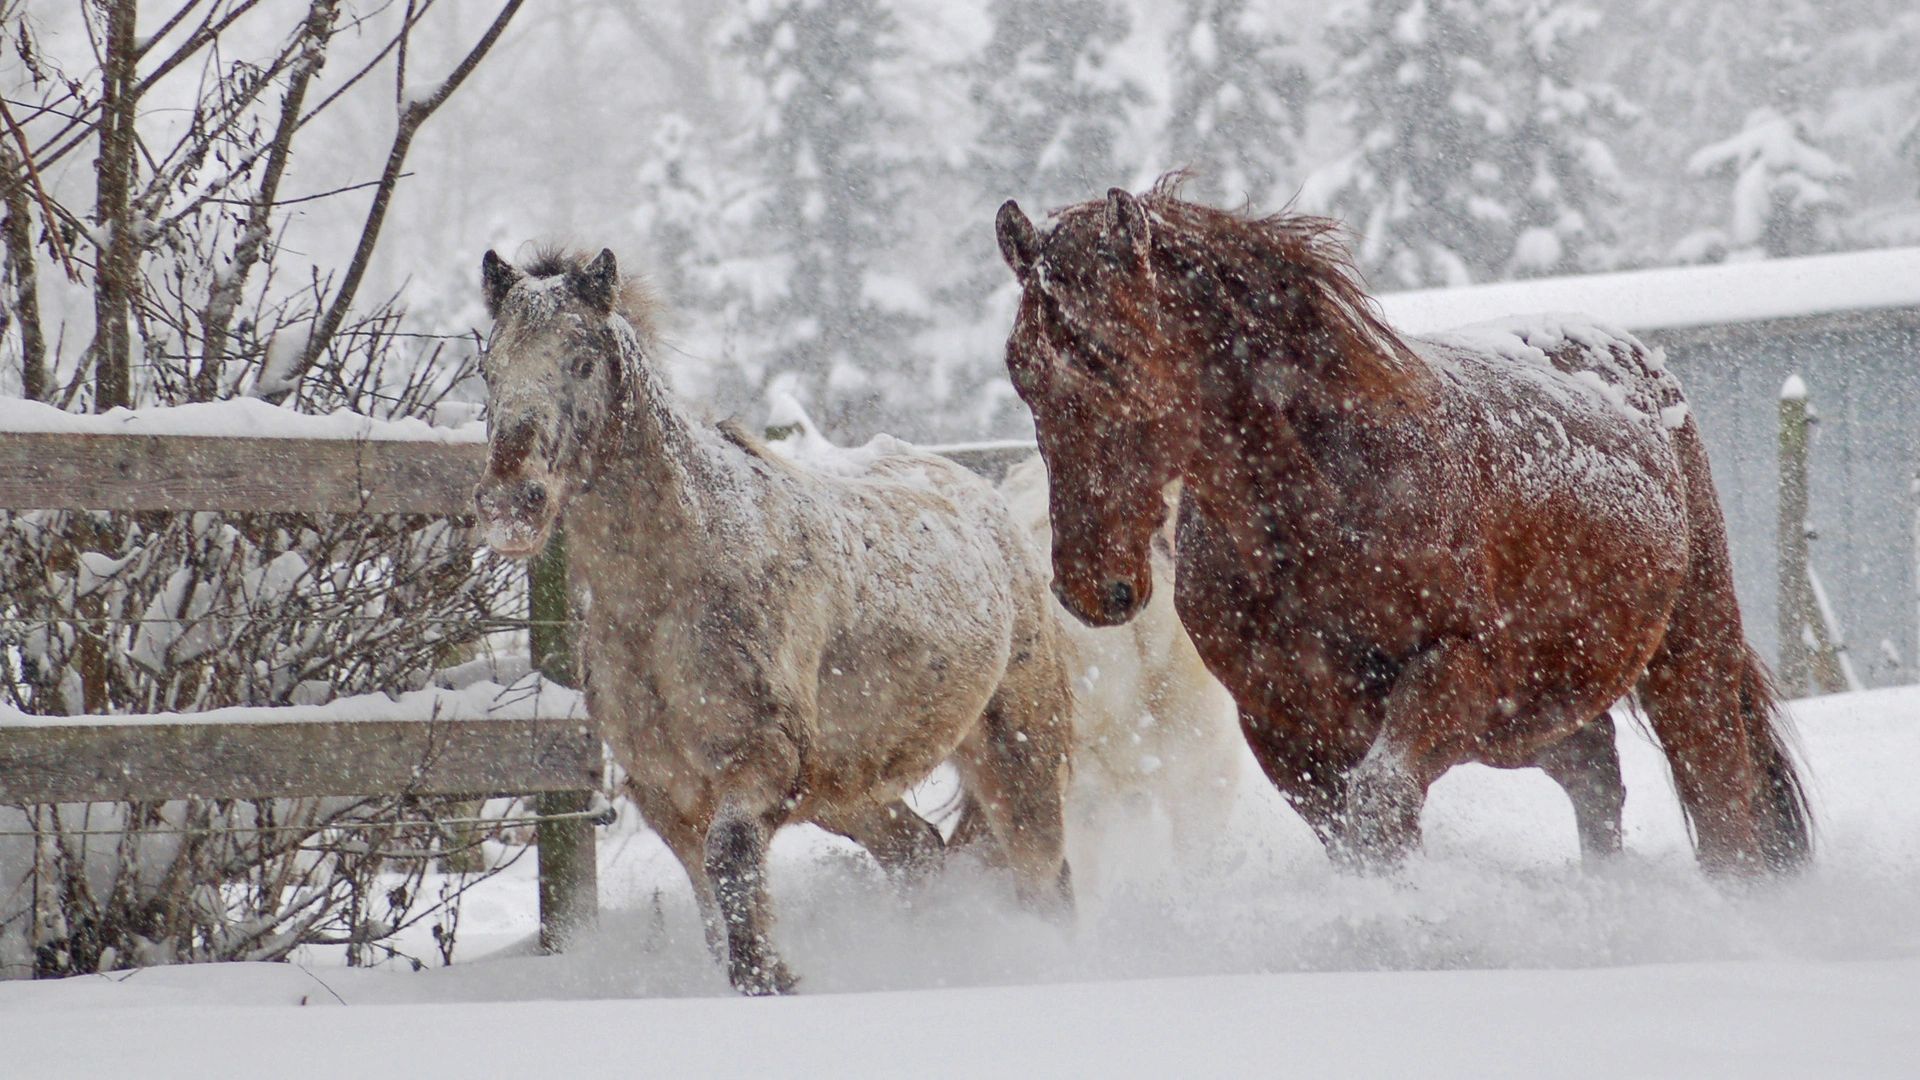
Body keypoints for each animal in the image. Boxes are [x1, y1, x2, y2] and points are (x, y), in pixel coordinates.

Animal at [471, 247, 1074, 994]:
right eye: (488, 368)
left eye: (582, 359)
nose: (508, 504)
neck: (665, 594)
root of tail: (986, 500)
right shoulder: (666, 795)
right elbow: (717, 913)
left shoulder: (759, 765)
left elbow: (732, 870)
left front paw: (777, 977)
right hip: (852, 791)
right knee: (920, 854)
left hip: (1018, 751)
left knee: (1045, 877)